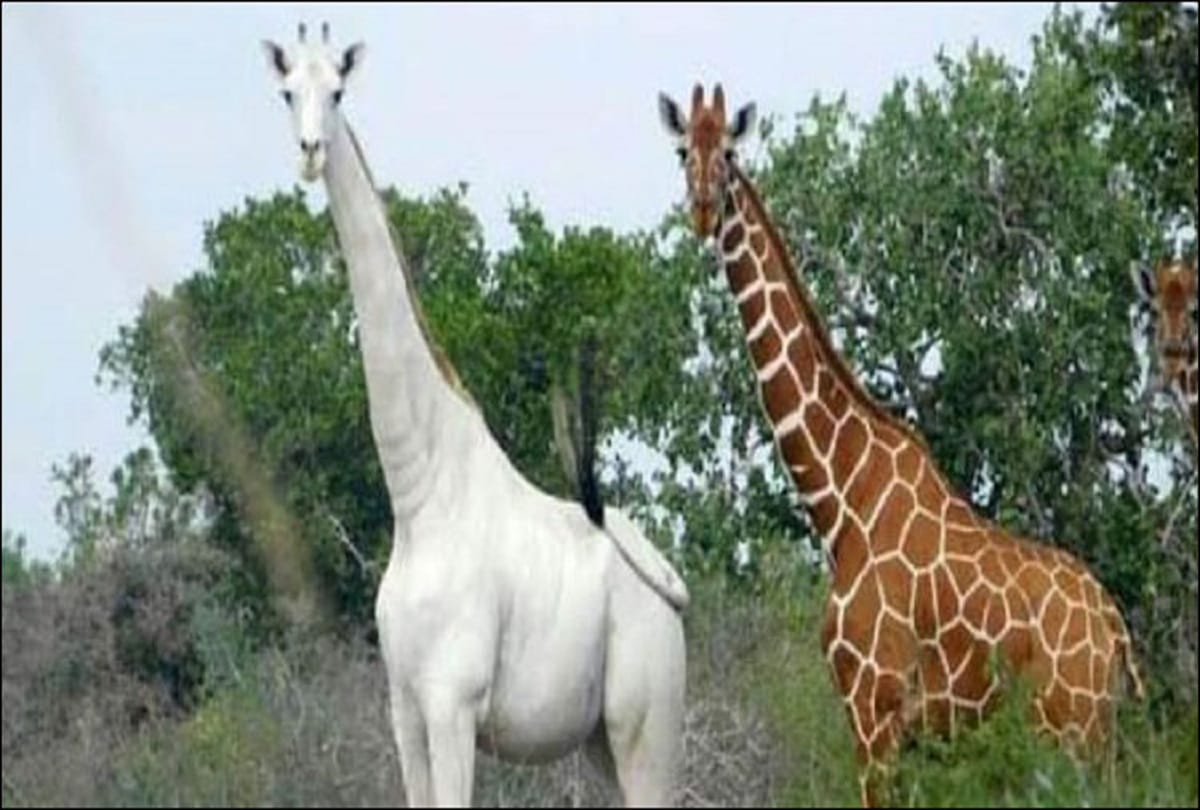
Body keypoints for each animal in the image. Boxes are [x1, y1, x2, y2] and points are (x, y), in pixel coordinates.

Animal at [262, 24, 689, 807]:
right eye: (286, 92)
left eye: (337, 91)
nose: (309, 152)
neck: (419, 498)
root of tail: (672, 585)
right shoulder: (404, 711)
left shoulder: (453, 704)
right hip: (597, 742)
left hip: (645, 724)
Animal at [658, 83, 1145, 806]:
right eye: (683, 150)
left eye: (731, 154)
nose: (702, 208)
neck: (841, 499)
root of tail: (1113, 626)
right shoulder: (907, 731)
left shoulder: (875, 709)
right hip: (1087, 735)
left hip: (1073, 731)